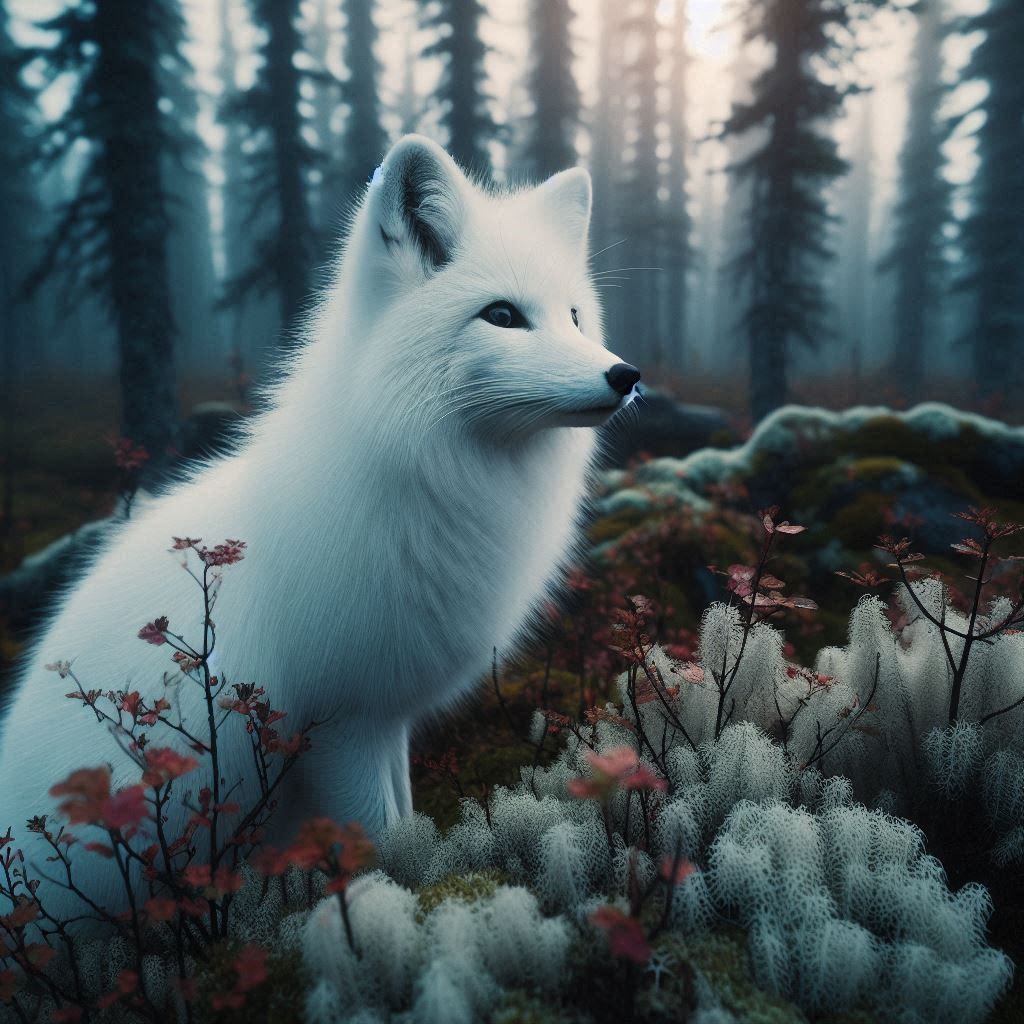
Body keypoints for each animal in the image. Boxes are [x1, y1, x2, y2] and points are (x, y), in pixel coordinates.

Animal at [0, 135, 640, 920]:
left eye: (576, 317)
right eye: (503, 315)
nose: (625, 375)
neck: (435, 481)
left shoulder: (387, 716)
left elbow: (402, 817)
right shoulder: (342, 723)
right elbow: (374, 836)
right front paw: (387, 903)